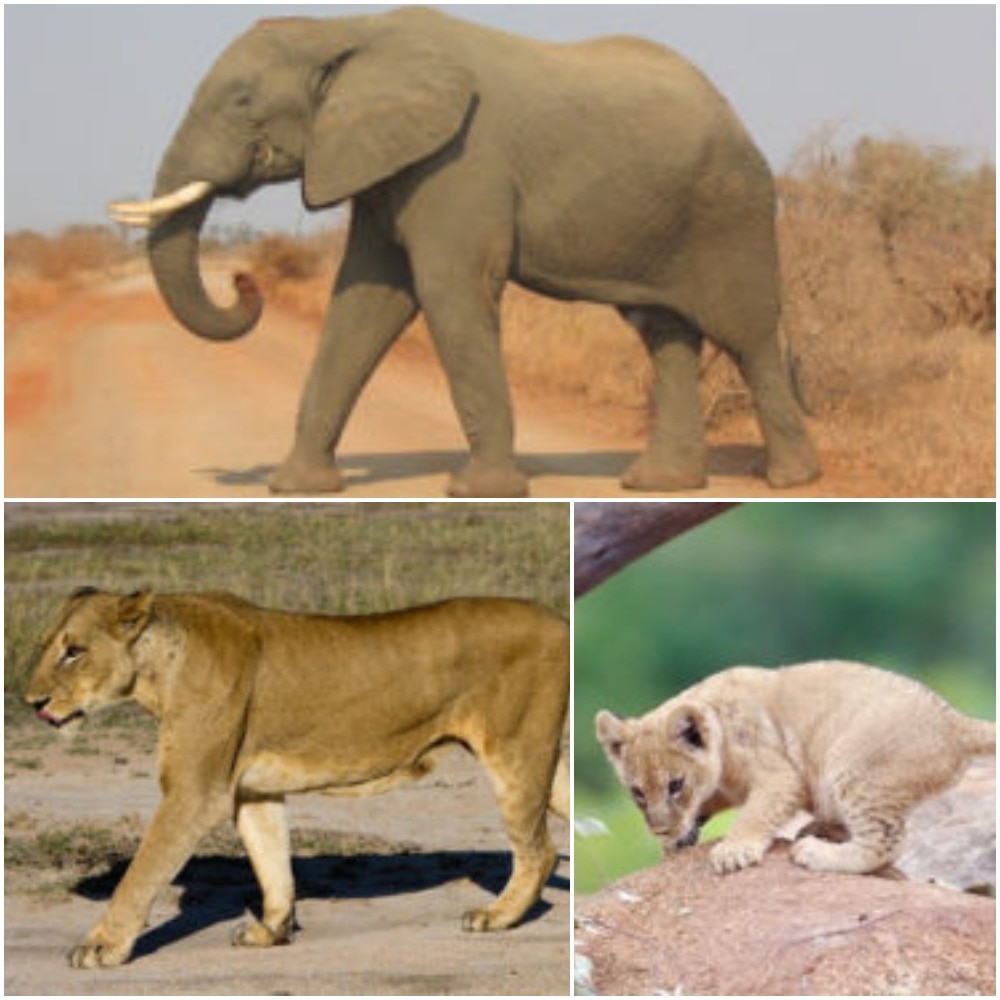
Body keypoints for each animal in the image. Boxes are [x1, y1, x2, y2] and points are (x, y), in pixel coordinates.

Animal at [111, 6, 820, 497]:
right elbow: (365, 302)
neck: (347, 28)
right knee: (664, 333)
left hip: (730, 206)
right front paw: (295, 488)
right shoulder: (385, 163)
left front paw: (483, 491)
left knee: (746, 332)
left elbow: (448, 290)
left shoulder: (461, 160)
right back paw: (658, 485)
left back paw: (792, 481)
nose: (243, 281)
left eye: (242, 101)